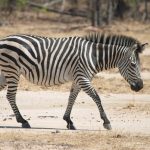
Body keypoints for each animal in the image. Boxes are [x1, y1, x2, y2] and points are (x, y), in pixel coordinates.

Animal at [0, 33, 146, 129]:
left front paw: (68, 121)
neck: (94, 56)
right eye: (133, 64)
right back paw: (23, 121)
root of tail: (3, 39)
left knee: (7, 94)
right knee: (11, 95)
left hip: (5, 73)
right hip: (12, 71)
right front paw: (106, 122)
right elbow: (96, 97)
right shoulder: (82, 77)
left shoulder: (78, 78)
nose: (140, 86)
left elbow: (72, 97)